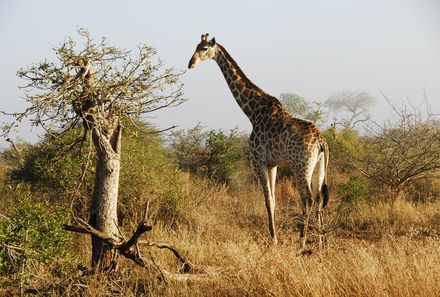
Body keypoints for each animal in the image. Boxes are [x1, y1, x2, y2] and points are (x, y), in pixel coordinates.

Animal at [187, 34, 328, 247]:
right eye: (196, 46)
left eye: (203, 48)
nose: (190, 63)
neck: (252, 112)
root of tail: (321, 142)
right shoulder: (273, 164)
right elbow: (274, 200)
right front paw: (274, 237)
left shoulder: (258, 160)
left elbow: (267, 200)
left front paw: (273, 239)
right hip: (319, 165)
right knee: (319, 199)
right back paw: (320, 244)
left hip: (300, 165)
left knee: (308, 199)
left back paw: (302, 242)